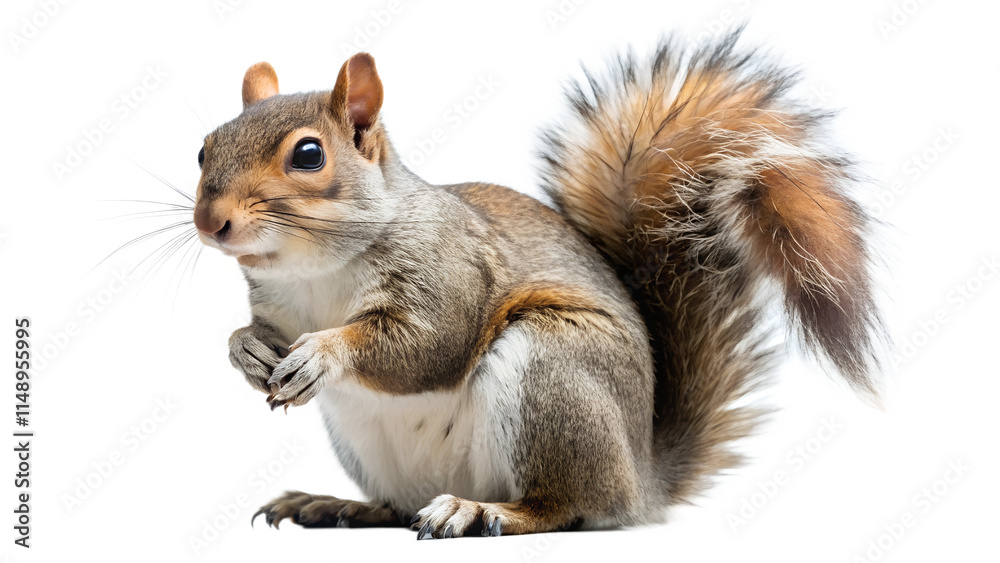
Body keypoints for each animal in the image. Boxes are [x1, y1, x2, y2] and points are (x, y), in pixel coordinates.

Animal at [192, 31, 884, 538]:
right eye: (204, 148)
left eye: (308, 155)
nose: (209, 221)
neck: (315, 271)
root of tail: (640, 479)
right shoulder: (277, 305)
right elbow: (260, 331)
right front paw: (244, 349)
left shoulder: (450, 272)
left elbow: (426, 346)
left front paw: (323, 351)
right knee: (399, 505)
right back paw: (341, 506)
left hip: (553, 371)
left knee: (566, 507)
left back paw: (482, 511)